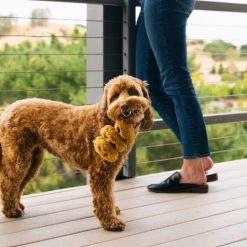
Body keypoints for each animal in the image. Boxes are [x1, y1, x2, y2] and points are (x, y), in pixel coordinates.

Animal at [0, 74, 152, 231]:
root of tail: (8, 109)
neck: (108, 120)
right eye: (115, 96)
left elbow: (109, 195)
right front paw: (111, 221)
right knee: (8, 182)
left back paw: (17, 205)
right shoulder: (100, 172)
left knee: (18, 183)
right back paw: (11, 210)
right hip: (18, 157)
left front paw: (113, 211)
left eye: (133, 91)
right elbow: (104, 198)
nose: (124, 105)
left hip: (33, 159)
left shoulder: (108, 171)